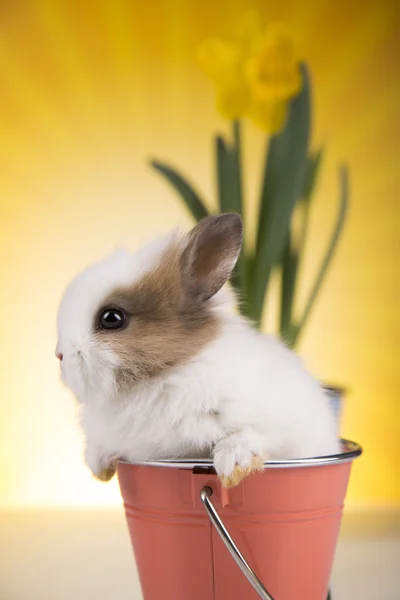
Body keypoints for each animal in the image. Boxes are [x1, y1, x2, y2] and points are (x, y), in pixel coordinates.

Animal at [54, 213, 340, 490]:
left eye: (111, 318)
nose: (59, 355)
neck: (166, 376)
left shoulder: (279, 420)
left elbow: (251, 434)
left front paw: (232, 466)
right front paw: (98, 466)